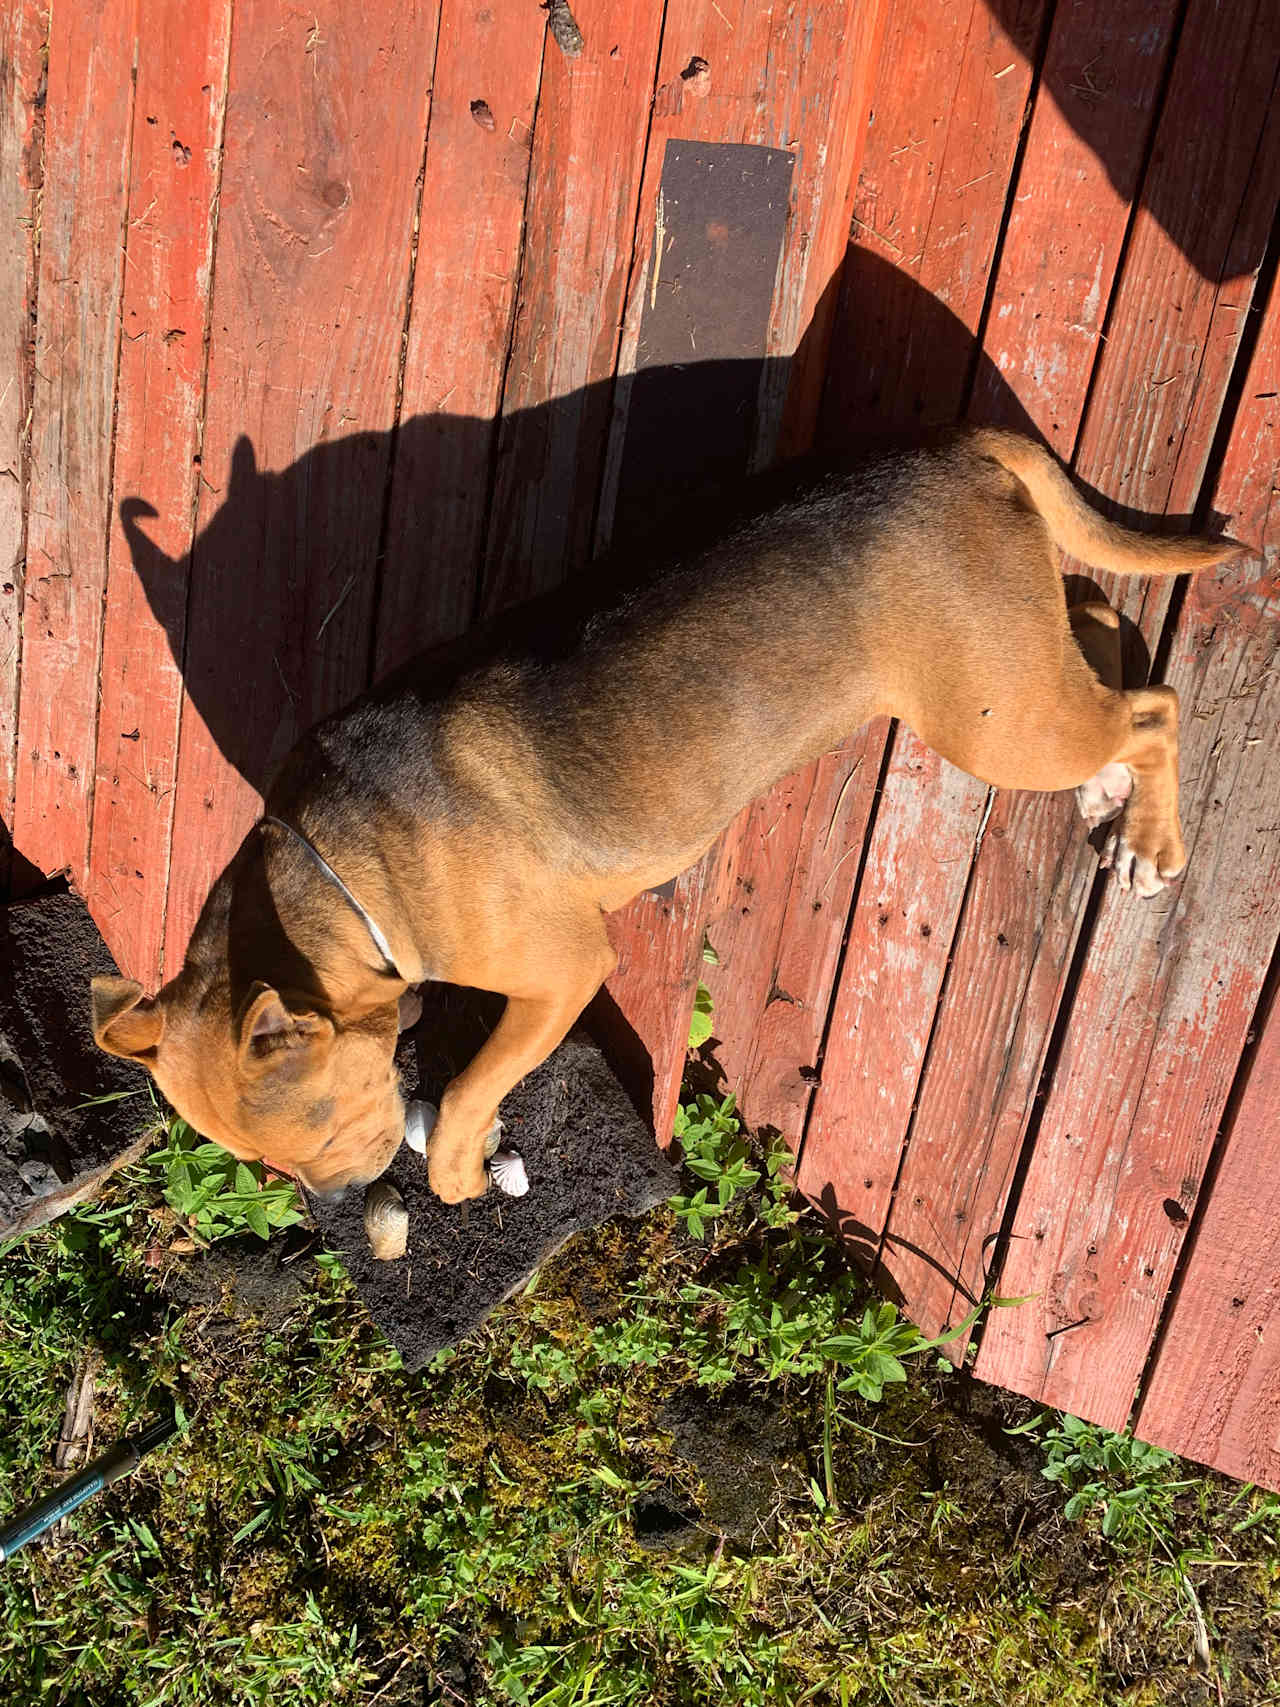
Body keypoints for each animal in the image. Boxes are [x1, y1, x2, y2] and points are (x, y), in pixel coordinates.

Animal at [90, 426, 1242, 1201]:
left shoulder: (562, 977)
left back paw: (1147, 835)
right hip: (1009, 674)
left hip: (995, 724)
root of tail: (957, 448)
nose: (333, 1198)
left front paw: (457, 1168)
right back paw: (1110, 779)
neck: (336, 870)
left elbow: (469, 1086)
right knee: (1095, 613)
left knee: (1152, 708)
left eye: (320, 1122)